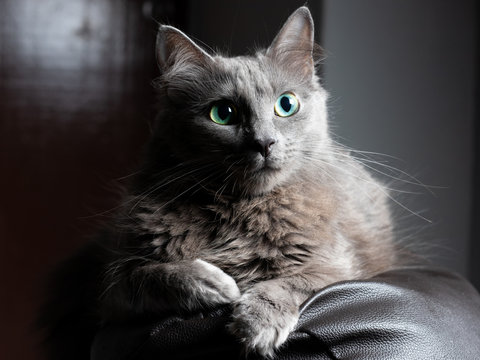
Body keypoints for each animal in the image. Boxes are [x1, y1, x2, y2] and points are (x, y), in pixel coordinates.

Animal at [39, 6, 398, 360]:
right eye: (222, 114)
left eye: (286, 104)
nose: (264, 143)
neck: (241, 209)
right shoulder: (111, 288)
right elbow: (153, 274)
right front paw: (216, 286)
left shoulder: (338, 267)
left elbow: (291, 282)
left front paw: (257, 322)